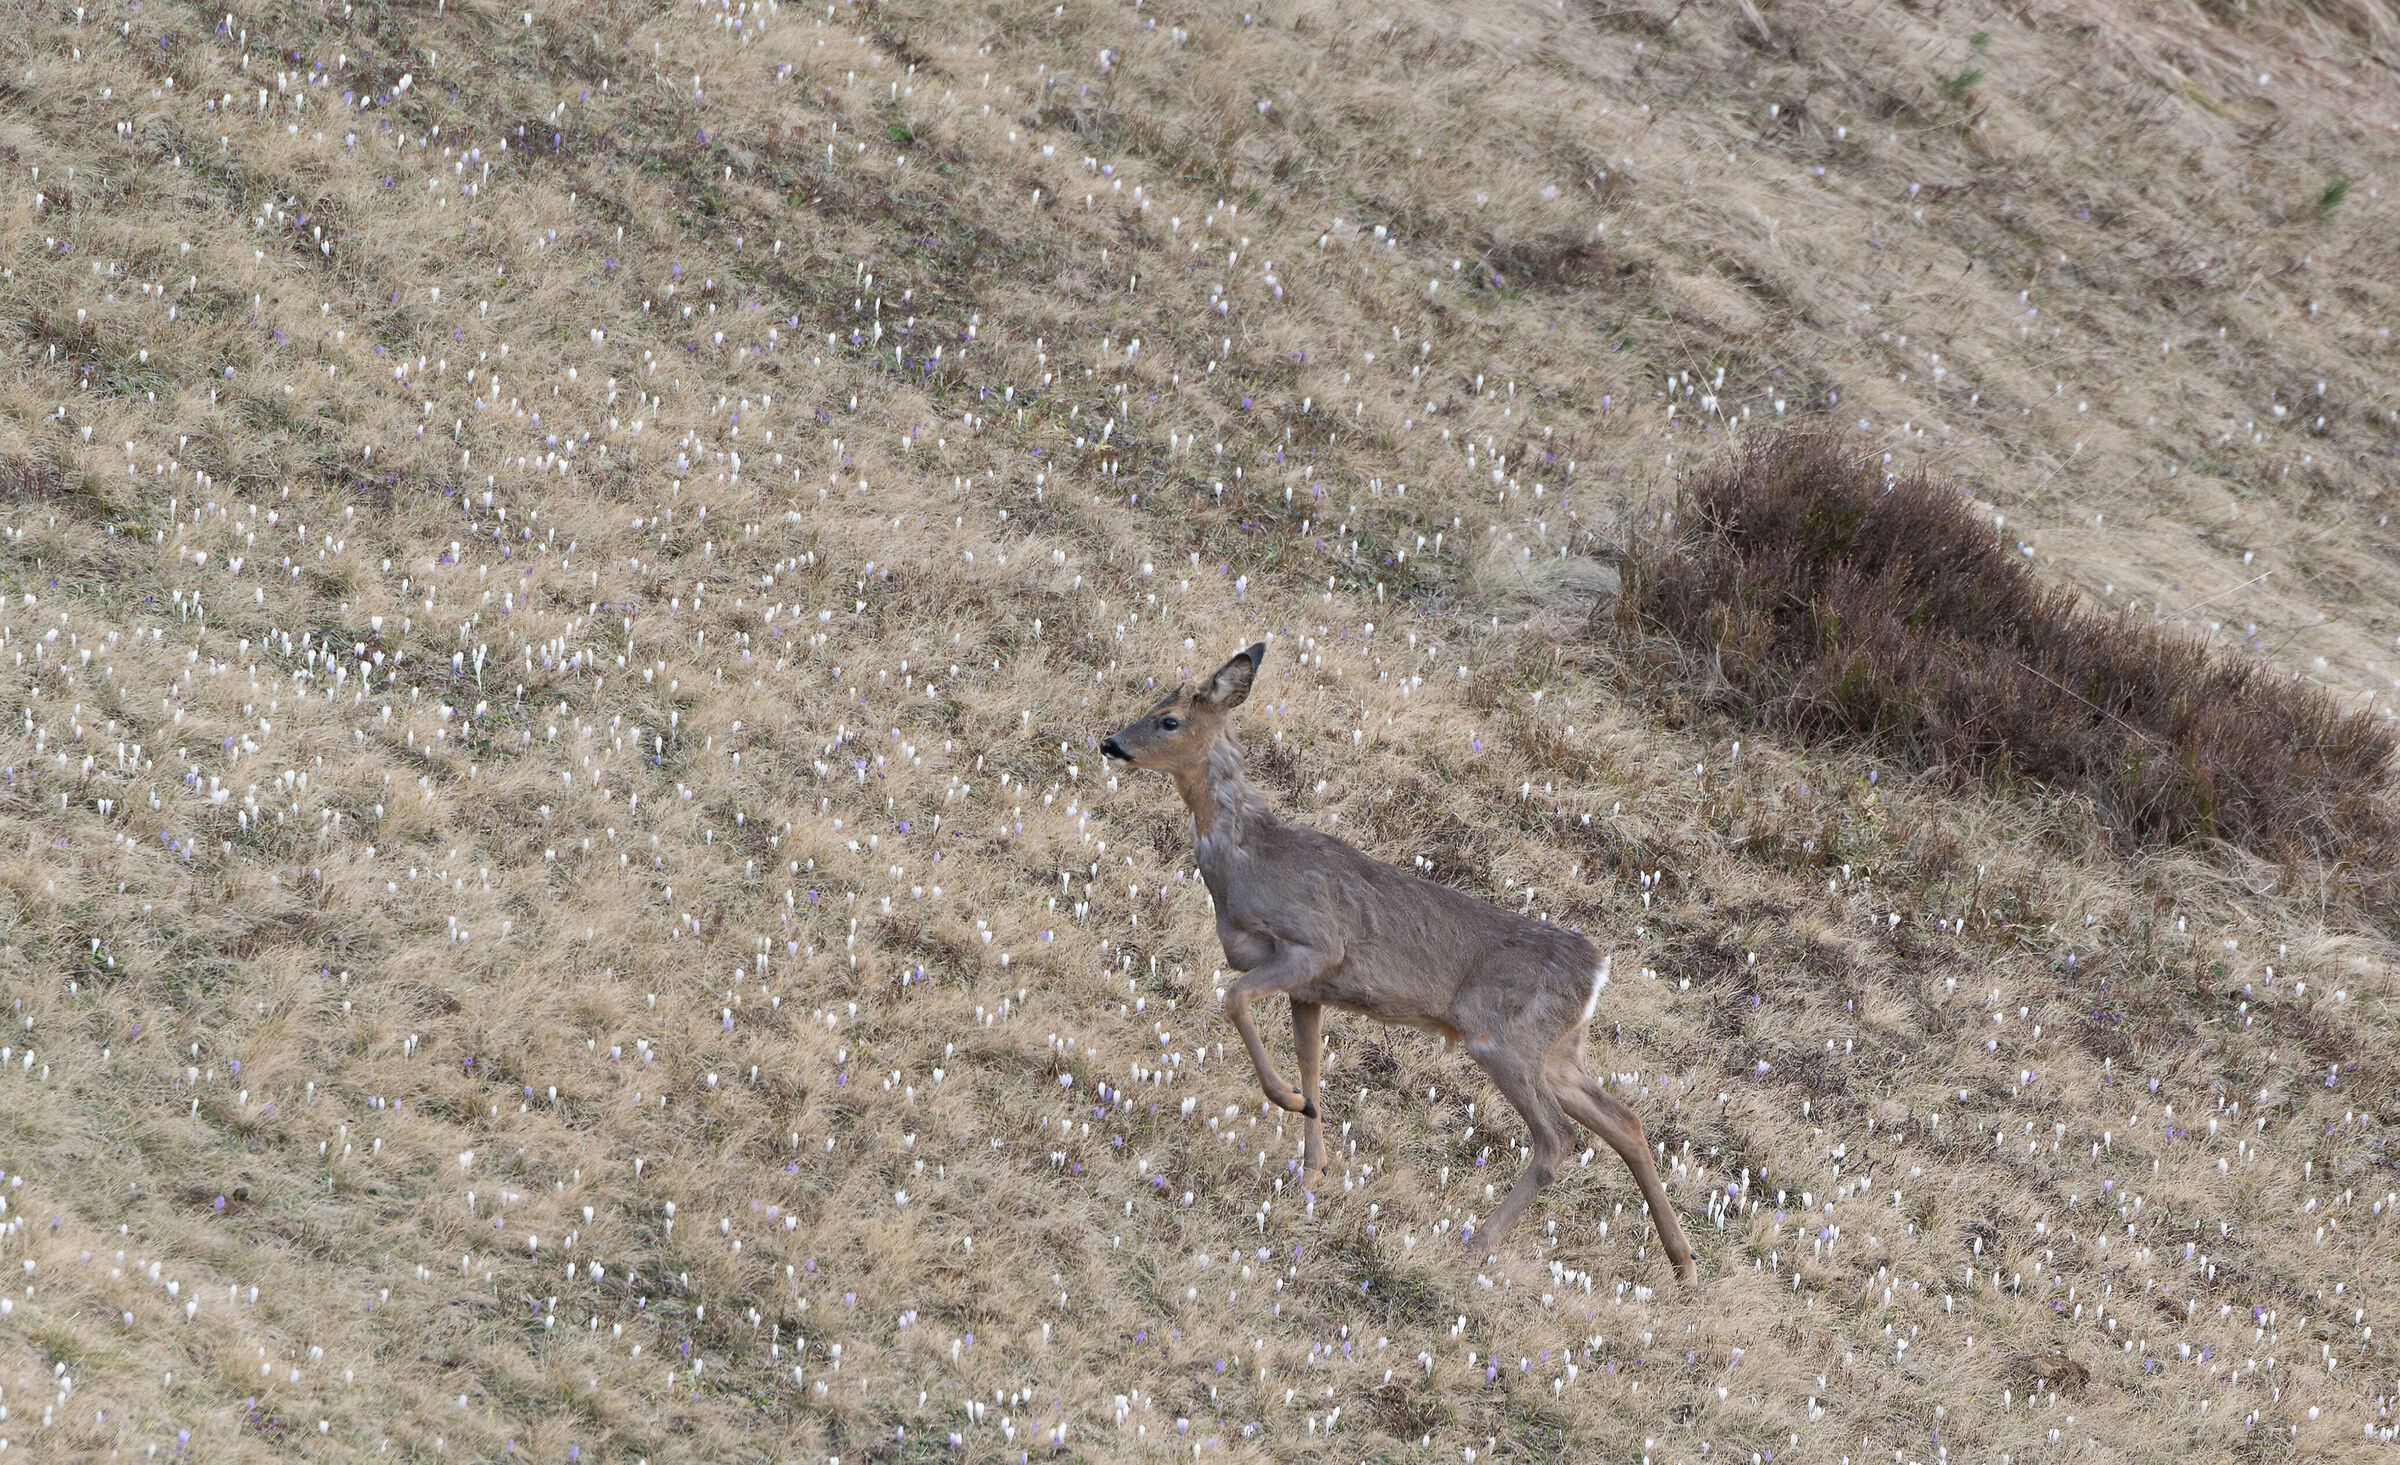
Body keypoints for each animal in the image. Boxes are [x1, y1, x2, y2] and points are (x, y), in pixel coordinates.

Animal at [1100, 642, 1697, 1283]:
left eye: (1168, 720)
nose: (1110, 743)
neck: (1245, 860)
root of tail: (1597, 970)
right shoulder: (1311, 988)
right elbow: (1312, 1061)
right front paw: (1313, 1162)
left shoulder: (1316, 944)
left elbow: (1234, 998)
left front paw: (1286, 1100)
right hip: (1557, 1050)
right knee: (1625, 1121)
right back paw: (1683, 1263)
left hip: (1503, 1039)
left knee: (1557, 1139)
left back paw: (1477, 1244)